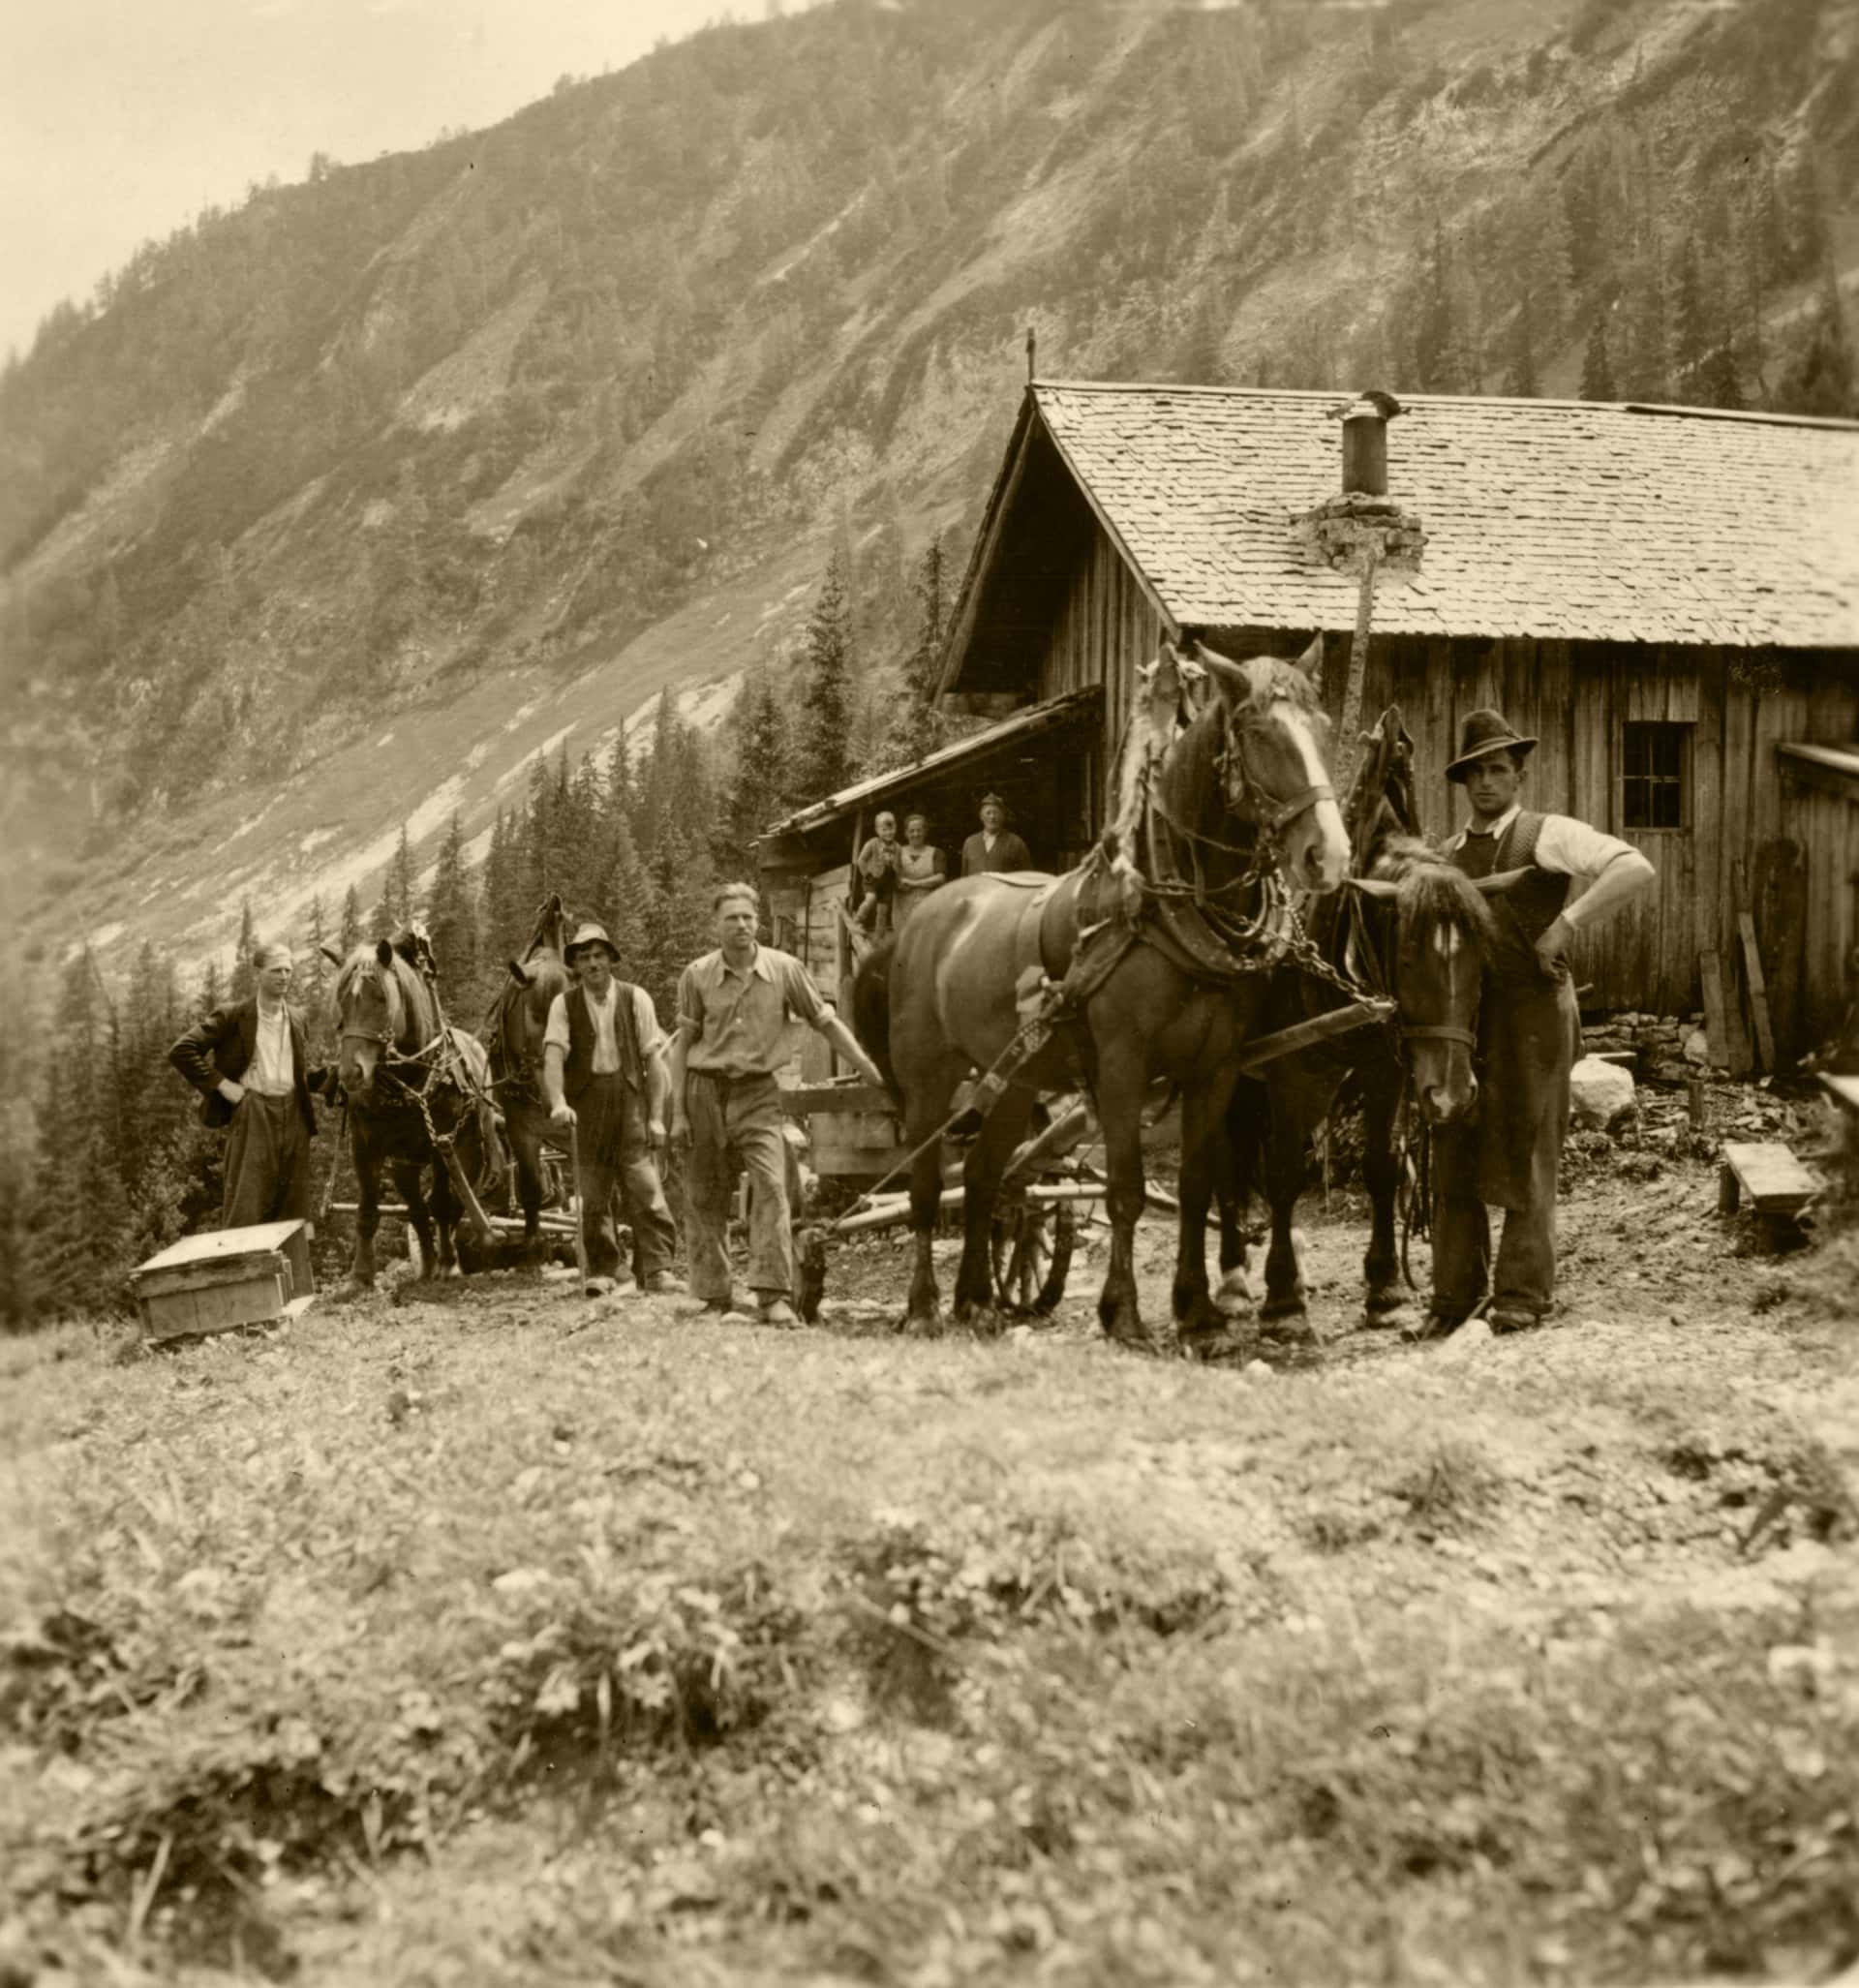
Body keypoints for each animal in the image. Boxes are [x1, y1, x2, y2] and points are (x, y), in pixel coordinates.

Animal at [327, 942, 491, 1288]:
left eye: (381, 998)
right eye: (342, 1001)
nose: (350, 1073)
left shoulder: (444, 1145)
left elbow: (442, 1205)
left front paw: (448, 1264)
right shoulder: (364, 1147)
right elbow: (367, 1209)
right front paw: (360, 1275)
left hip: (467, 1153)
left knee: (449, 1203)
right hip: (405, 1165)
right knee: (416, 1208)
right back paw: (426, 1263)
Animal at [854, 644, 1352, 1343]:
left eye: (1326, 728)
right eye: (1258, 733)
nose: (1328, 855)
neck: (1165, 913)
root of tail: (914, 926)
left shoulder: (1216, 1069)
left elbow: (1197, 1185)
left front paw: (1197, 1310)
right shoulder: (1122, 1067)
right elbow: (1126, 1190)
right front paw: (1124, 1311)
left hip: (1015, 1079)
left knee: (982, 1178)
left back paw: (976, 1301)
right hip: (929, 1080)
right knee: (926, 1187)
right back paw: (924, 1306)